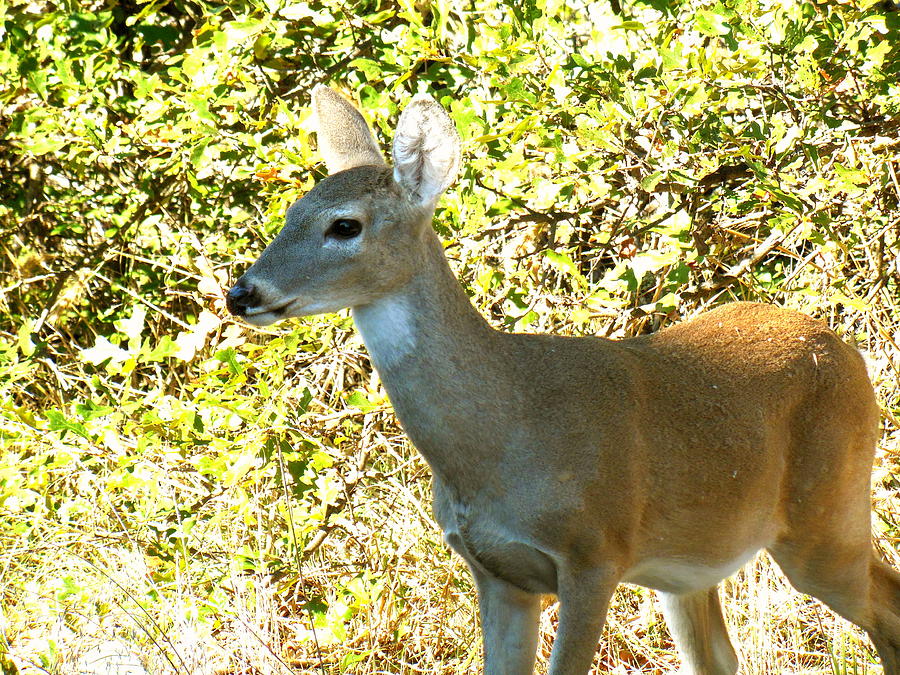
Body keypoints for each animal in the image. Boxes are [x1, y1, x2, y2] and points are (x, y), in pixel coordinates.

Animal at [225, 86, 900, 675]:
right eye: (291, 213)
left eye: (345, 225)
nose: (242, 294)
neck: (502, 435)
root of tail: (843, 349)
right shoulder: (497, 575)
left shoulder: (594, 552)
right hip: (692, 561)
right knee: (719, 656)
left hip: (826, 509)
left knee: (884, 610)